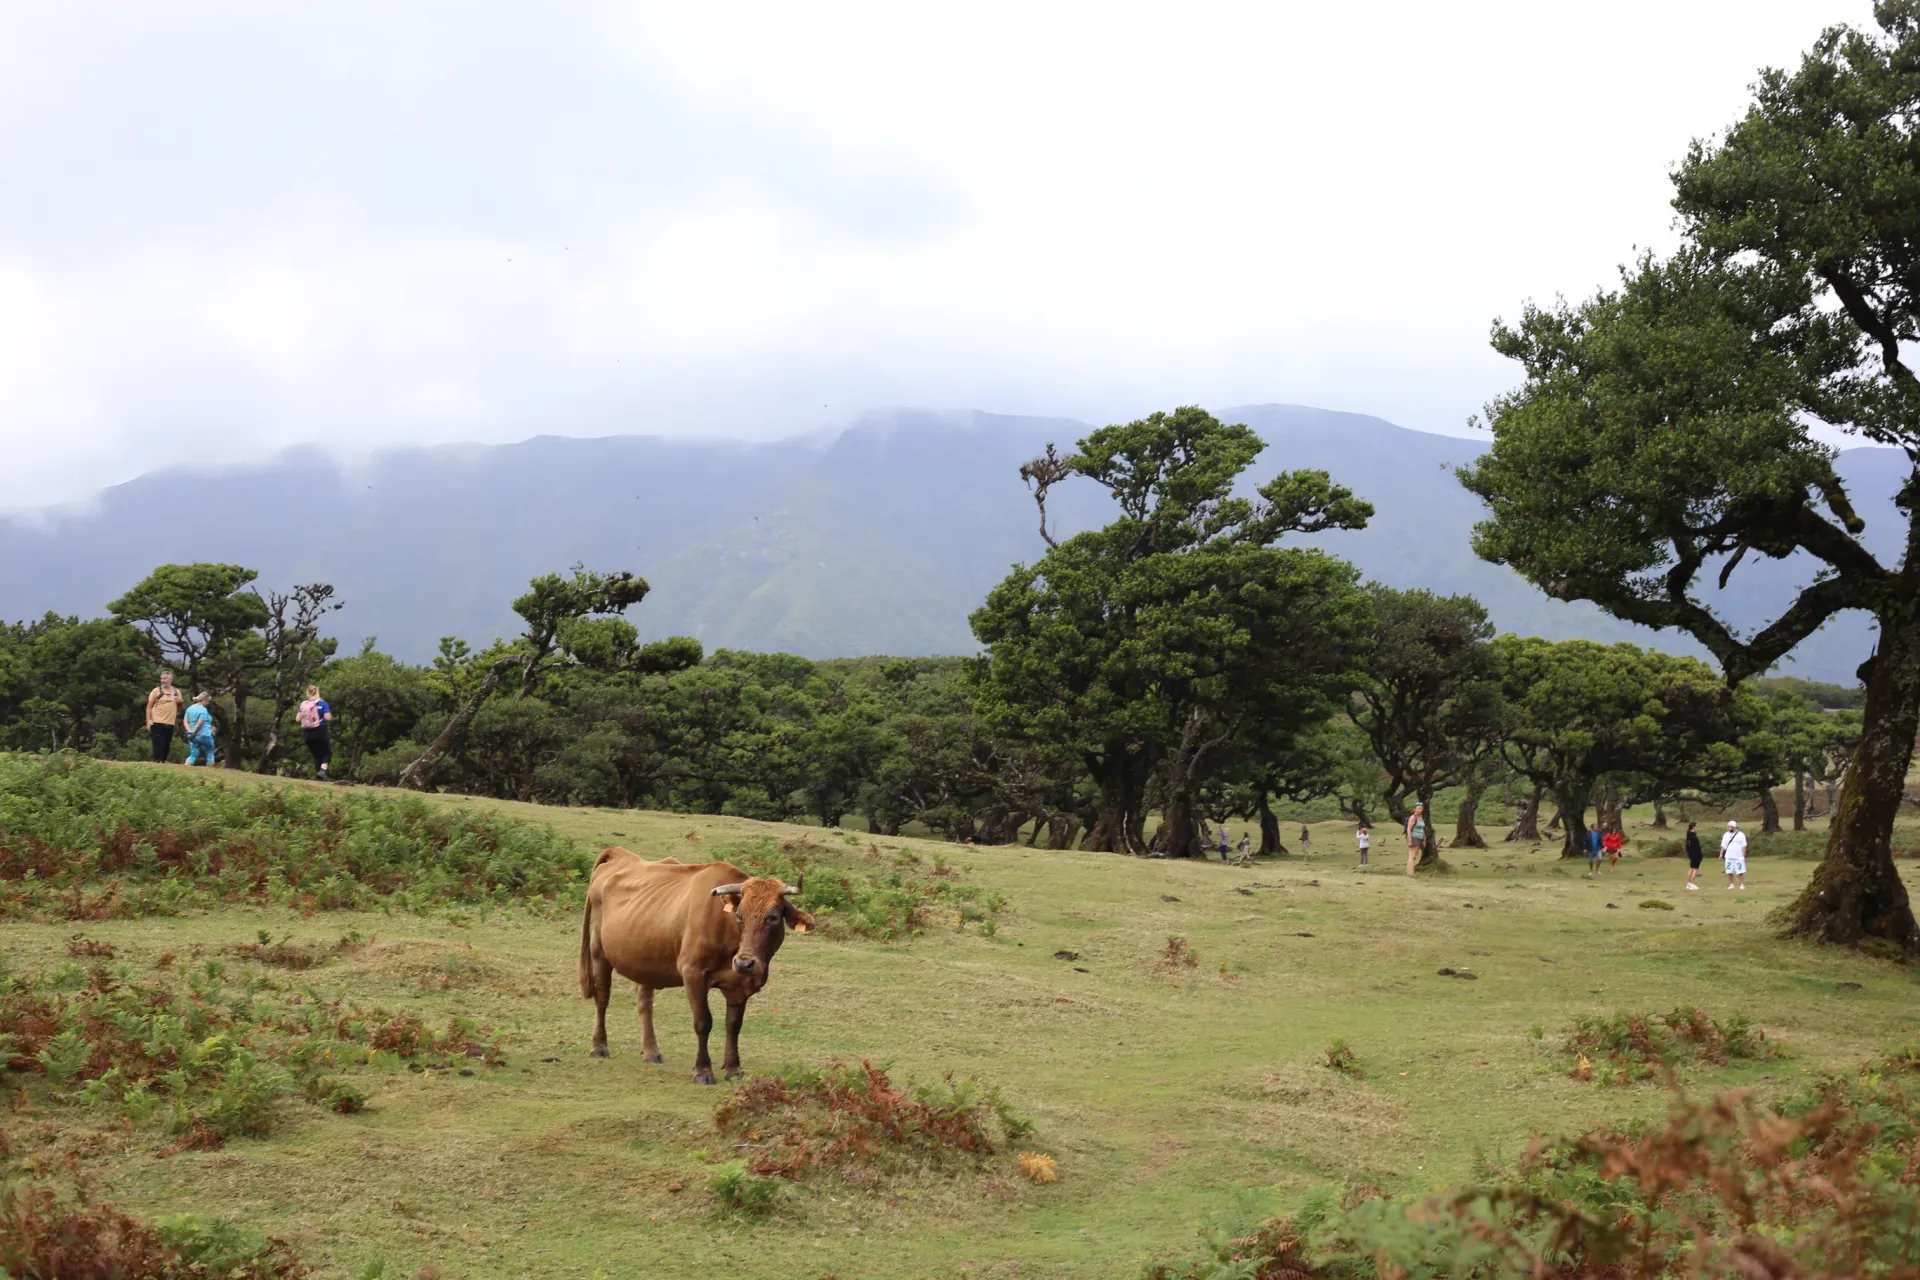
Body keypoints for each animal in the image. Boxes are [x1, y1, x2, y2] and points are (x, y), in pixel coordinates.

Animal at [578, 848, 814, 1084]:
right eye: (739, 916)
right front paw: (703, 1070)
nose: (744, 962)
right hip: (599, 952)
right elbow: (703, 1022)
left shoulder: (739, 984)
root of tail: (620, 854)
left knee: (644, 1003)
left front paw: (733, 1068)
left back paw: (651, 1051)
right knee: (602, 998)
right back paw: (599, 1046)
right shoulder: (693, 974)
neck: (728, 933)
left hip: (646, 959)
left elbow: (733, 1025)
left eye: (773, 917)